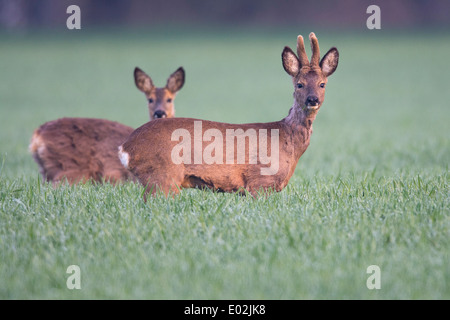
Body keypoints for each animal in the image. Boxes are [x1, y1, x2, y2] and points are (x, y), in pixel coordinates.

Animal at [118, 32, 338, 199]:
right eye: (299, 84)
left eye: (322, 84)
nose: (312, 99)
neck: (286, 139)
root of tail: (126, 147)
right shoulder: (259, 182)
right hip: (163, 175)